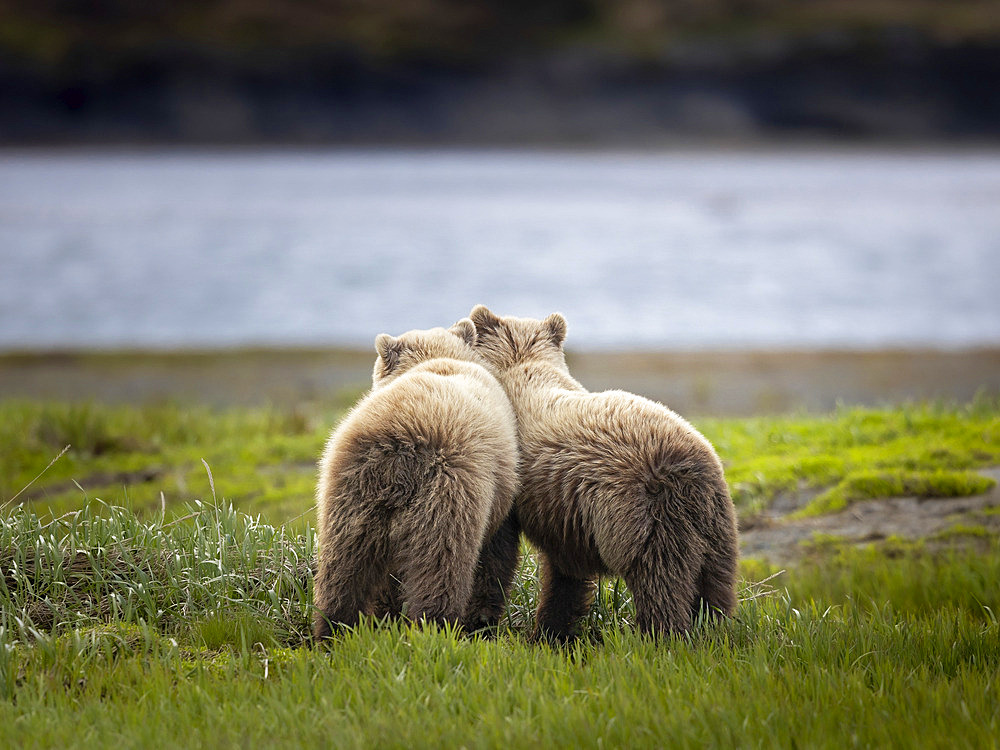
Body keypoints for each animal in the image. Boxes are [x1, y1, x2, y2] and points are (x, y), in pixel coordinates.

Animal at [312, 320, 520, 644]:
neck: (434, 359)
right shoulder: (501, 485)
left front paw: (387, 615)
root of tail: (399, 449)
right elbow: (496, 552)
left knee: (344, 570)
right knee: (442, 567)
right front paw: (483, 620)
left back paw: (334, 631)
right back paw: (436, 629)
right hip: (449, 493)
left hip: (350, 493)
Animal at [466, 306, 736, 640]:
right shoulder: (566, 514)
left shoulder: (508, 478)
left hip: (645, 517)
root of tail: (691, 468)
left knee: (660, 581)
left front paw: (478, 622)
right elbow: (565, 573)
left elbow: (494, 553)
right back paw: (715, 629)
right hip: (716, 525)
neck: (520, 363)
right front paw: (552, 630)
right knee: (714, 586)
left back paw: (660, 635)